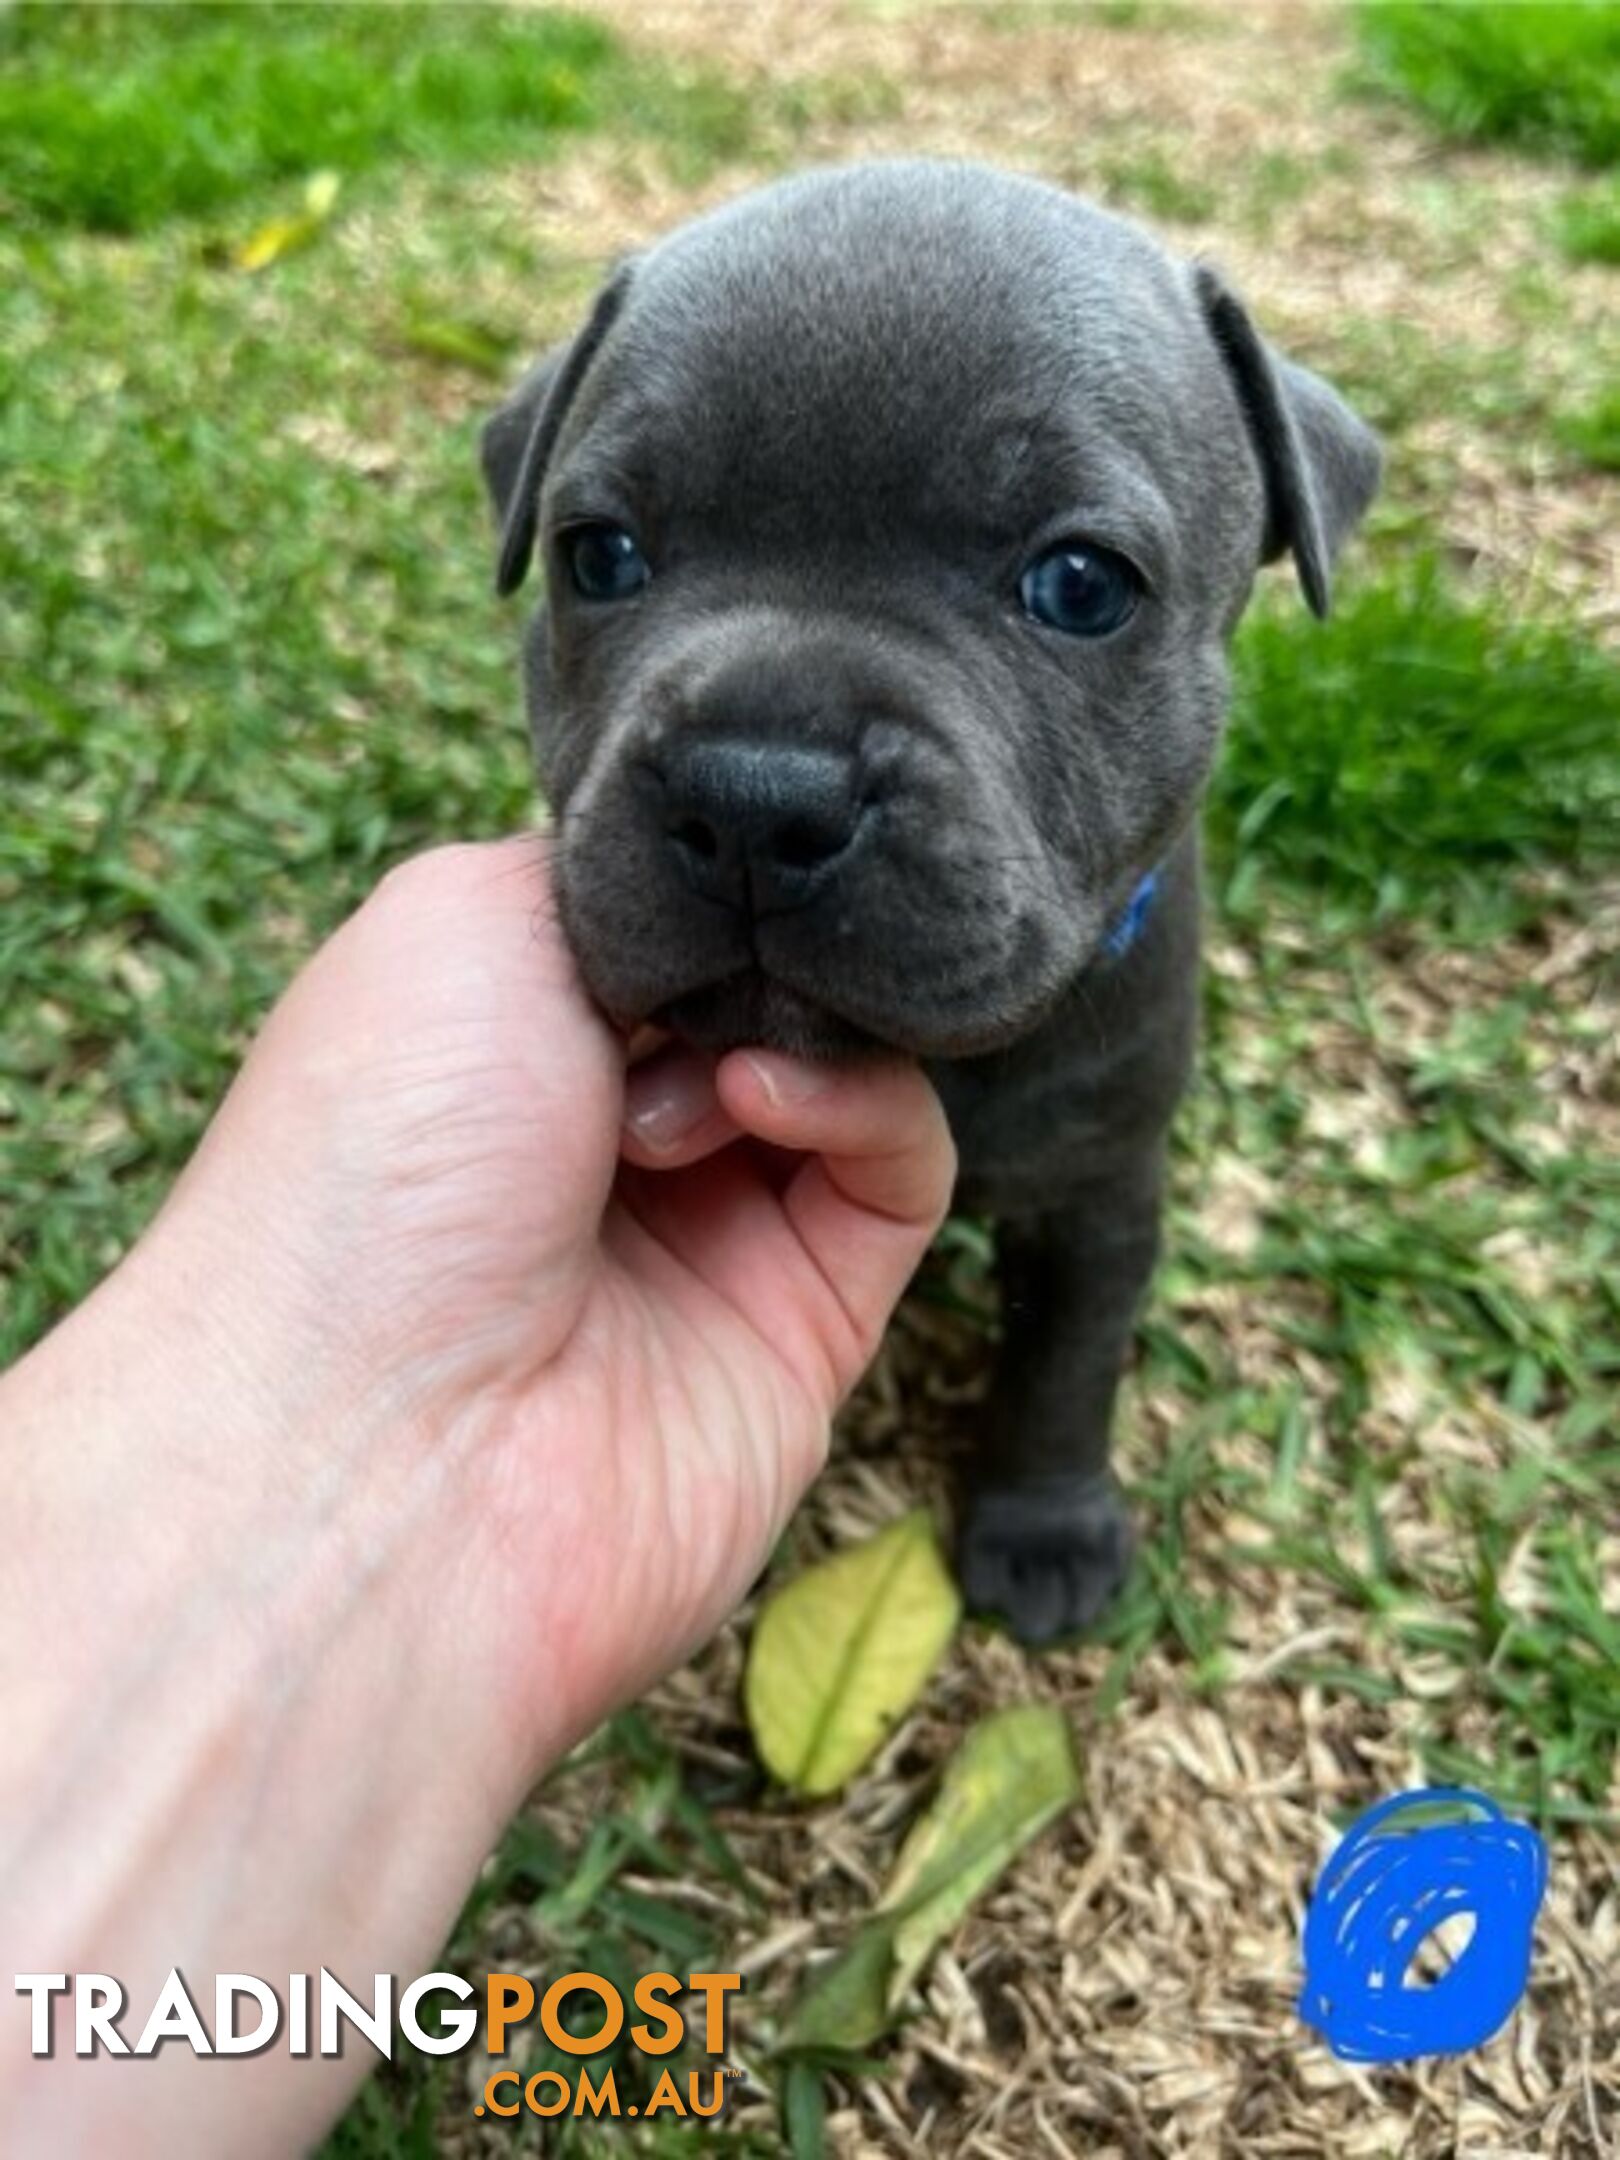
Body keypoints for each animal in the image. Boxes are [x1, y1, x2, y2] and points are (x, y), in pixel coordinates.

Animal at [481, 159, 1382, 1641]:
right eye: (598, 556)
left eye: (1080, 585)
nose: (755, 792)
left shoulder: (1101, 1191)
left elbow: (1066, 1369)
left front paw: (1044, 1527)